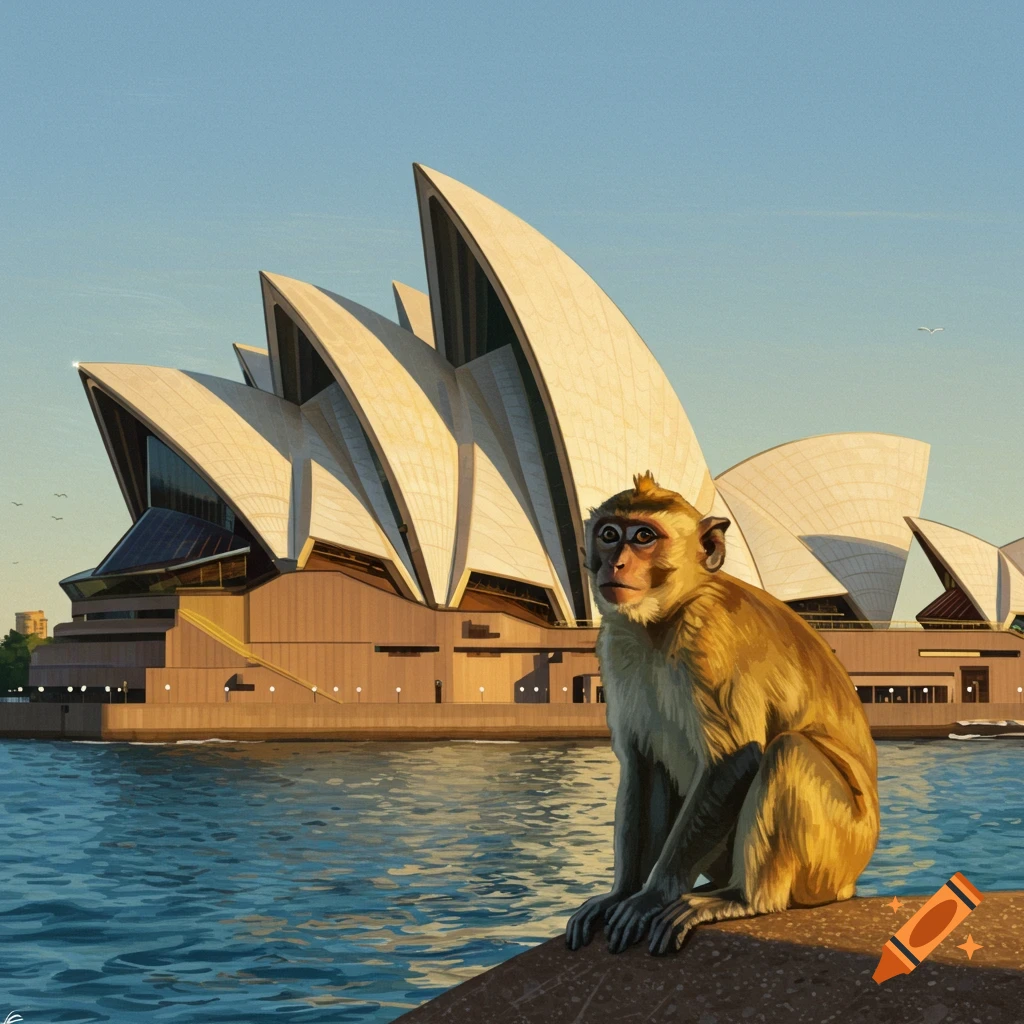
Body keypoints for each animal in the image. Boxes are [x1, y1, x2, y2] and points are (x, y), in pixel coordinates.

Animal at [565, 472, 879, 956]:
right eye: (609, 534)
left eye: (644, 537)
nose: (614, 564)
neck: (664, 620)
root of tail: (850, 883)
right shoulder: (617, 644)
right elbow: (642, 765)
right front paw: (623, 893)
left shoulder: (712, 640)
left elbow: (733, 761)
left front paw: (651, 896)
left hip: (838, 848)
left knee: (787, 752)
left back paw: (744, 898)